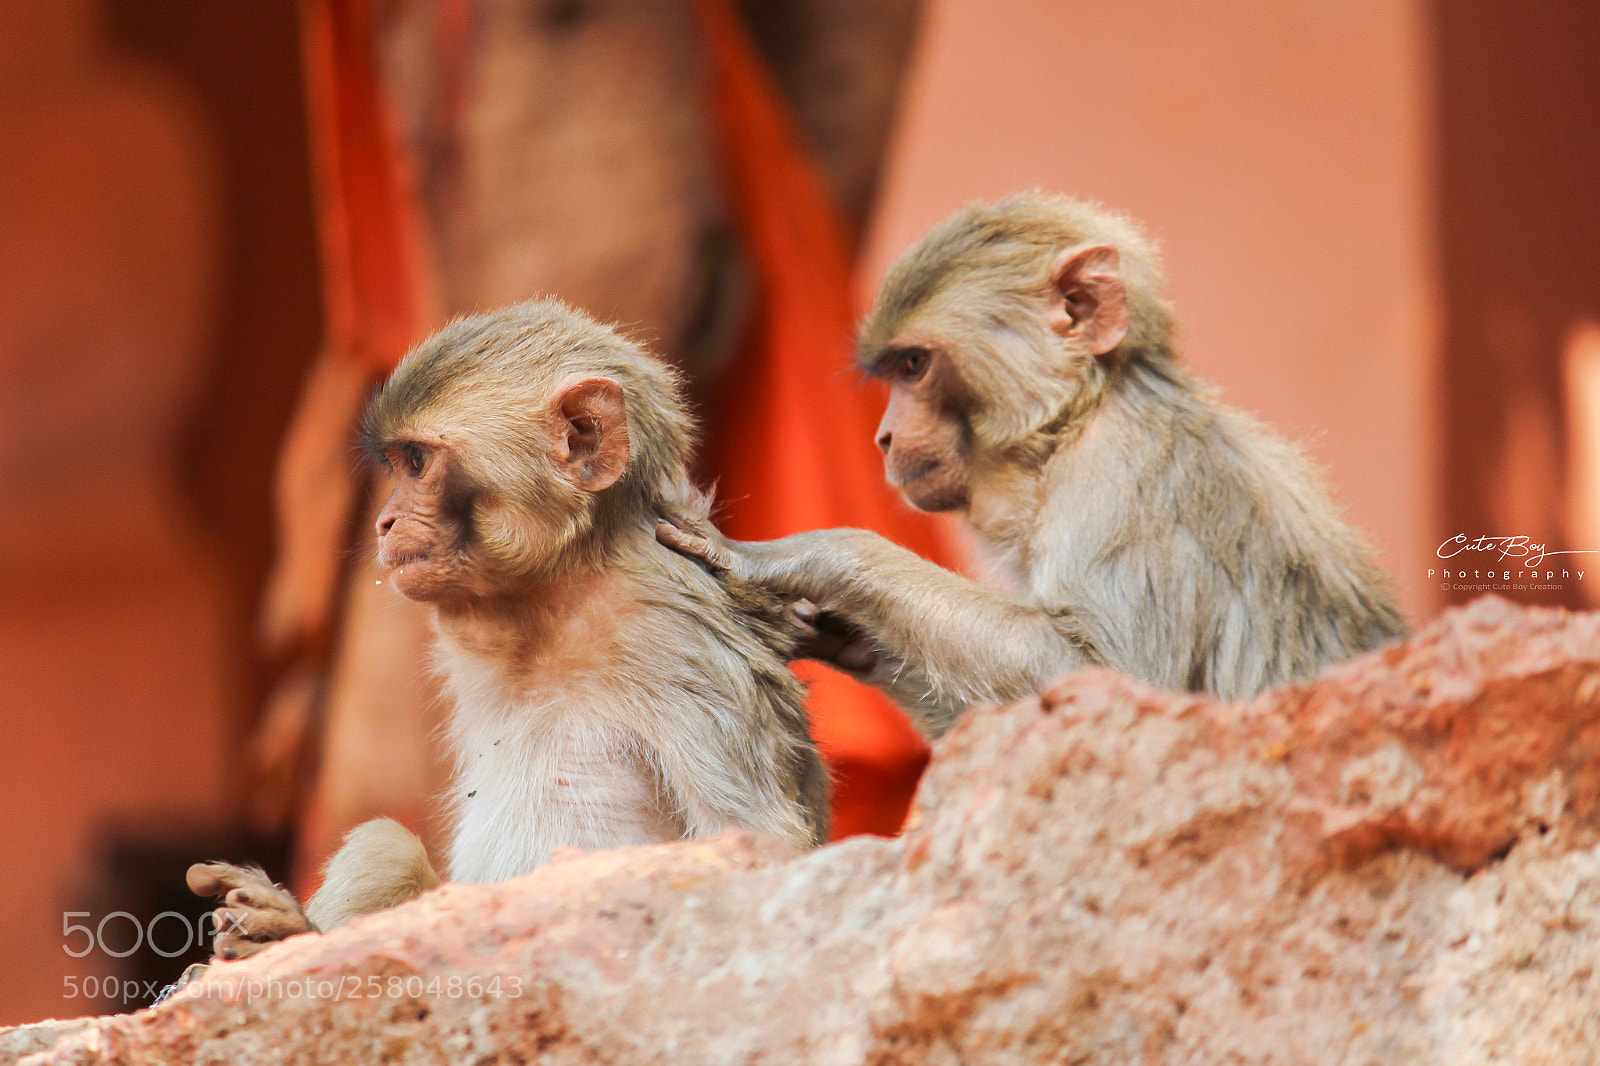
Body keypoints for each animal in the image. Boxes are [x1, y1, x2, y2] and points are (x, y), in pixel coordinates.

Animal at [189, 299, 827, 961]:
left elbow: (756, 845)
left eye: (416, 463)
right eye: (398, 464)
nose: (383, 521)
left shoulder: (676, 637)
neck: (563, 600)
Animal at [658, 191, 1408, 739]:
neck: (1073, 425)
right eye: (895, 372)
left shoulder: (1115, 478)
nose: (884, 437)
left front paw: (802, 559)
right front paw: (840, 635)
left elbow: (1106, 678)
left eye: (915, 365)